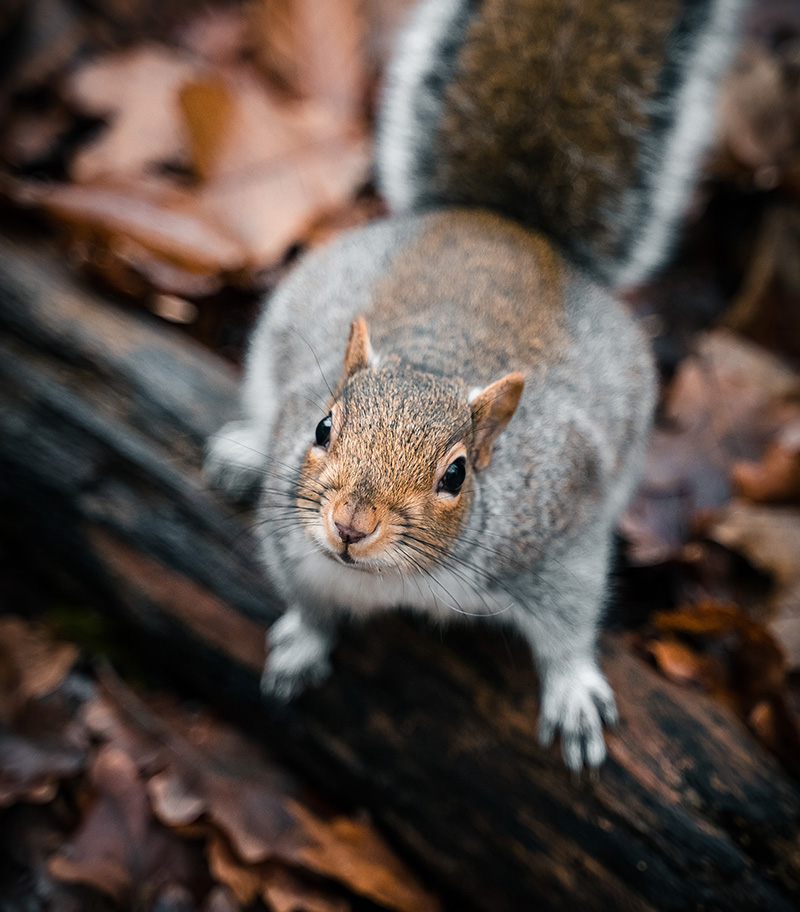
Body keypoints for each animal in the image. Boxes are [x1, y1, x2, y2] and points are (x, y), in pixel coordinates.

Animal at [206, 0, 744, 770]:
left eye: (456, 475)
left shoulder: (557, 535)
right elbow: (308, 603)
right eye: (322, 427)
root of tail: (505, 225)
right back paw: (241, 451)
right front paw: (302, 645)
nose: (350, 526)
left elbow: (571, 620)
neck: (398, 578)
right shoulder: (295, 547)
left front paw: (574, 690)